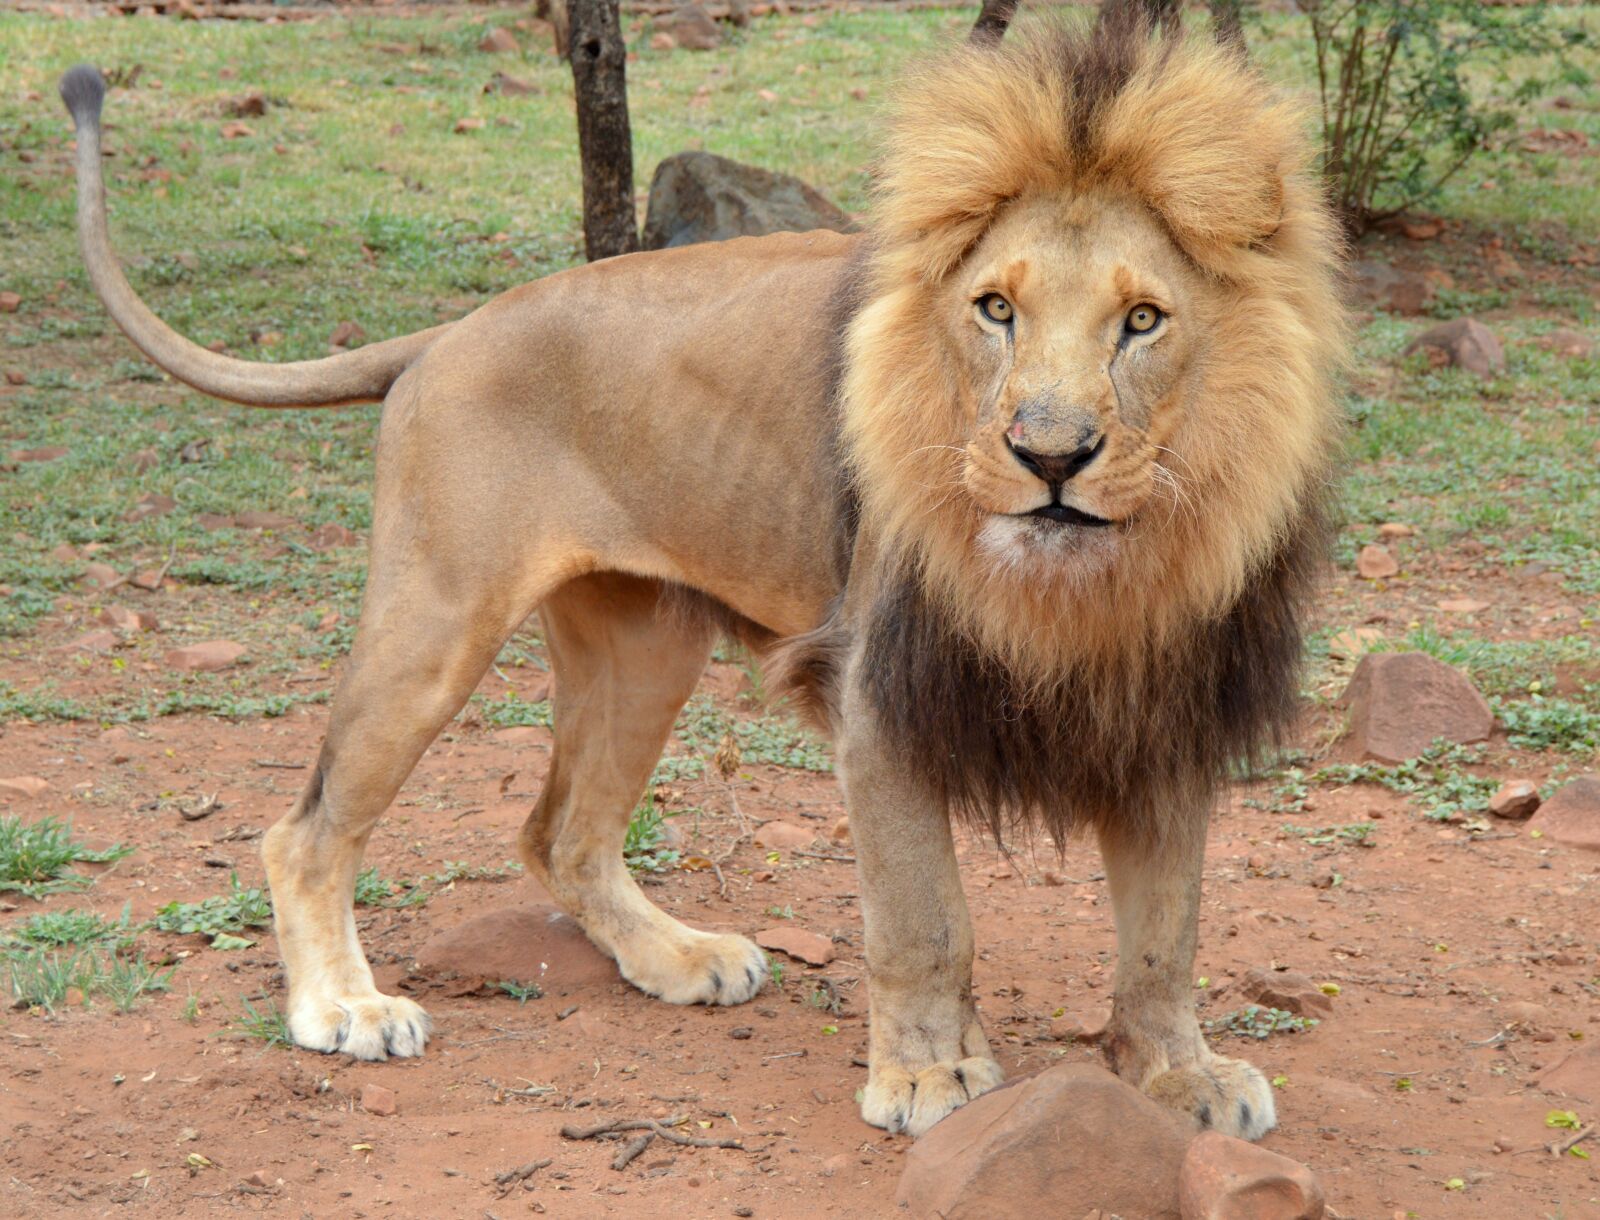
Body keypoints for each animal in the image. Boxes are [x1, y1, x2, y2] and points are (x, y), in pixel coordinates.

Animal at [58, 11, 1343, 1142]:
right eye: (994, 309)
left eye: (1142, 321)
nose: (1050, 455)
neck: (1095, 584)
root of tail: (449, 331)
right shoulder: (876, 702)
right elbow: (925, 921)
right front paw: (926, 1076)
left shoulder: (1170, 707)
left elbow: (1164, 938)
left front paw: (1182, 1075)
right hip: (436, 620)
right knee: (306, 830)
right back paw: (343, 1005)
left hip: (644, 643)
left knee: (561, 833)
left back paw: (676, 958)